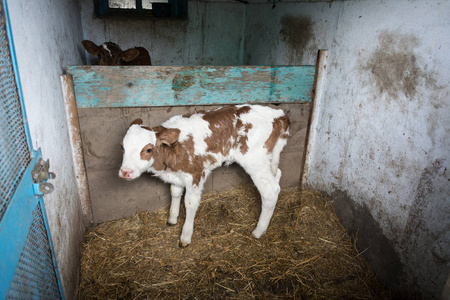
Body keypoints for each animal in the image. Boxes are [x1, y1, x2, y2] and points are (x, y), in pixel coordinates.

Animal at [118, 105, 288, 246]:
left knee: (270, 191)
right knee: (277, 174)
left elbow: (190, 203)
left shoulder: (195, 174)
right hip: (270, 157)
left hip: (255, 160)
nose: (126, 172)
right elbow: (175, 192)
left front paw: (185, 237)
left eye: (148, 149)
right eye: (122, 147)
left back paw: (258, 231)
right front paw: (172, 219)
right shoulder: (177, 175)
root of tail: (279, 115)